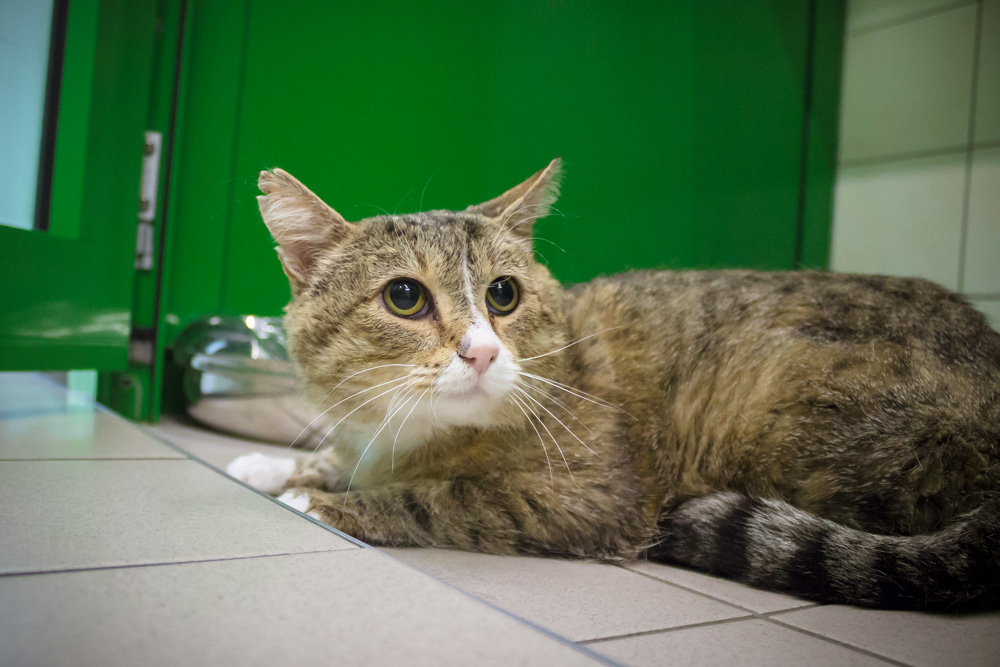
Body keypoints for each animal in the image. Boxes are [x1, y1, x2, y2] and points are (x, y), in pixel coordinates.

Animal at [227, 159, 1000, 610]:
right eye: (405, 297)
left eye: (503, 294)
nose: (482, 351)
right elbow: (344, 456)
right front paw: (275, 465)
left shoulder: (590, 498)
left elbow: (442, 497)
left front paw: (319, 501)